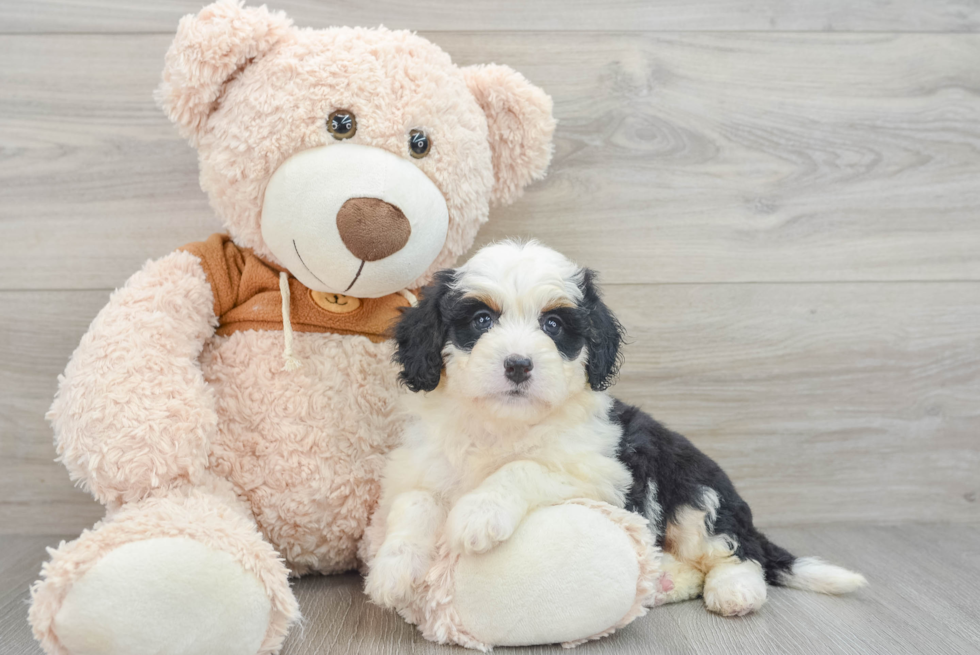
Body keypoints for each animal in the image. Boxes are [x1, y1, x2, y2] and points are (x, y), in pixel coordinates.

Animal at [368, 240, 864, 616]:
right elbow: (415, 502)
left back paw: (734, 590)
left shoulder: (600, 473)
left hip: (694, 492)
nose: (518, 365)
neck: (503, 424)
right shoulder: (422, 466)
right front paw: (393, 569)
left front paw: (479, 512)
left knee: (738, 549)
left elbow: (526, 467)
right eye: (481, 320)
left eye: (553, 324)